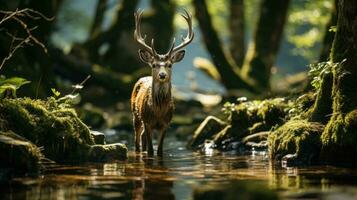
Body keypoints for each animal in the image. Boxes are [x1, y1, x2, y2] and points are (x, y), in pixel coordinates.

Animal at [130, 9, 193, 156]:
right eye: (154, 65)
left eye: (169, 64)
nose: (162, 74)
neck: (158, 111)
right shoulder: (147, 121)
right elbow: (150, 151)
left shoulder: (166, 123)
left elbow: (159, 151)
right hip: (135, 114)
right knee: (137, 140)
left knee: (142, 138)